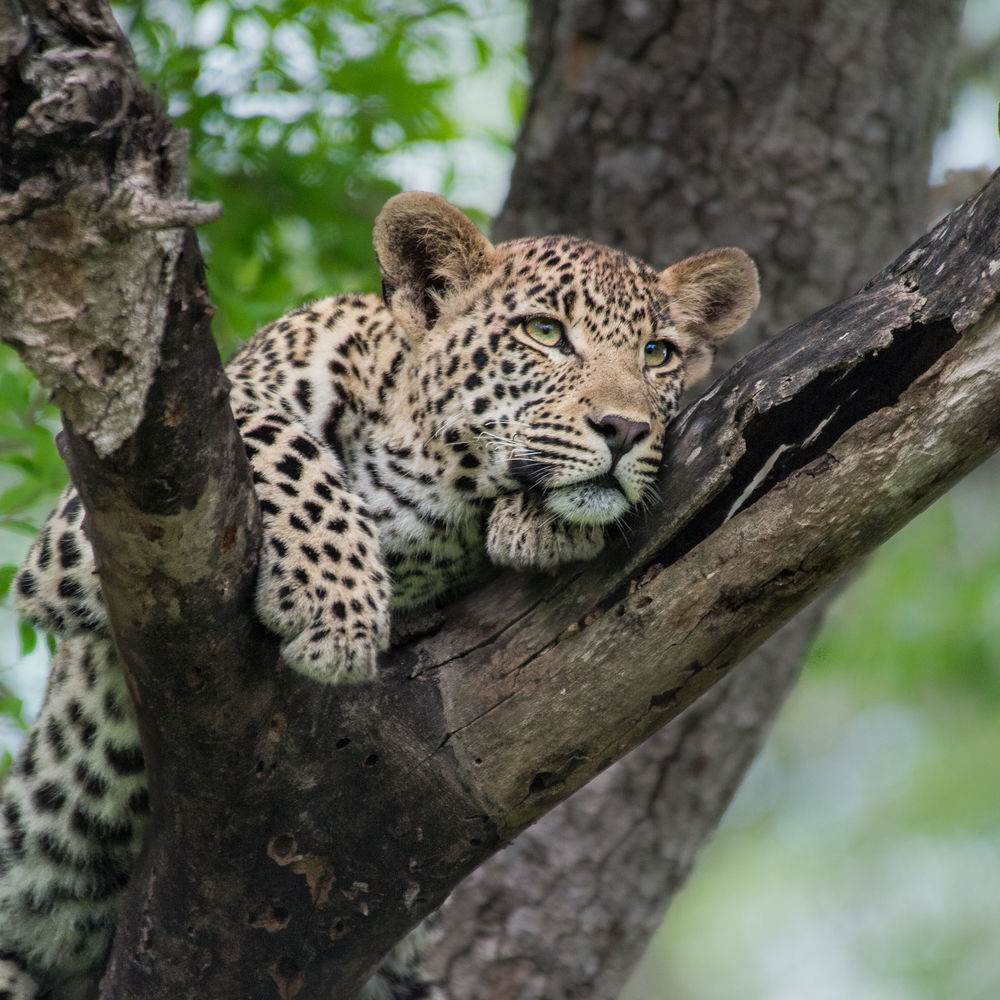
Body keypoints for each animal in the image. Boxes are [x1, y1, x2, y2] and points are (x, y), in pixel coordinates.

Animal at [0, 191, 756, 996]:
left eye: (659, 354)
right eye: (546, 333)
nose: (623, 428)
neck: (422, 473)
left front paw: (538, 521)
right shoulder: (87, 524)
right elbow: (278, 438)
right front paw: (339, 608)